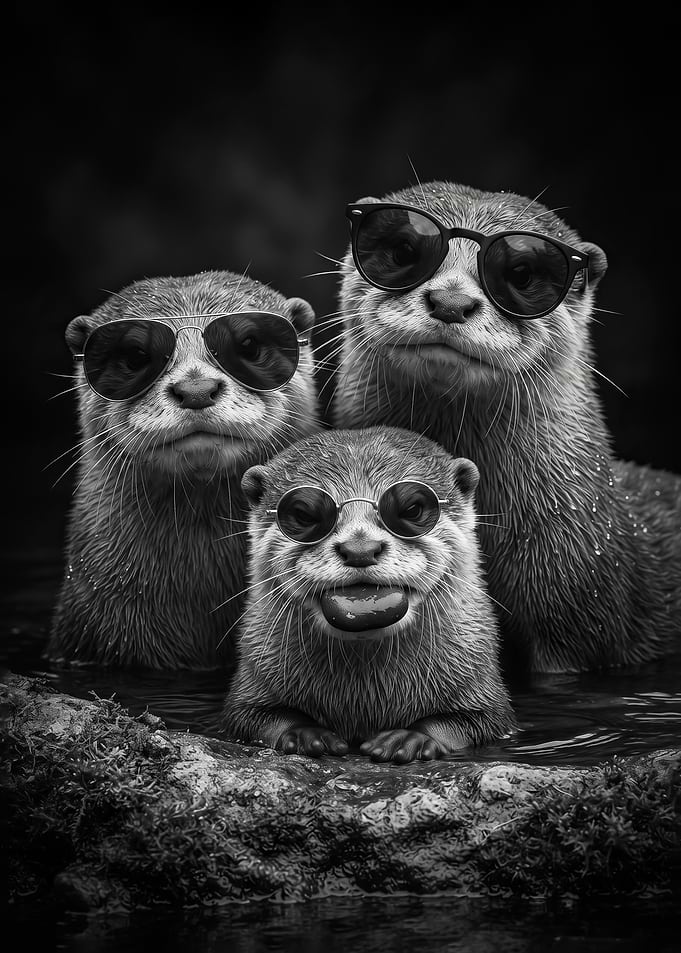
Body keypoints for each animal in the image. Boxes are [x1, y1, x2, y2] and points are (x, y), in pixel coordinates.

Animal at [221, 426, 516, 762]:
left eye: (412, 509)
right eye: (304, 514)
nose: (360, 548)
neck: (365, 700)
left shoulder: (483, 692)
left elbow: (472, 722)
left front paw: (411, 738)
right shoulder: (251, 684)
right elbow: (253, 718)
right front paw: (304, 734)